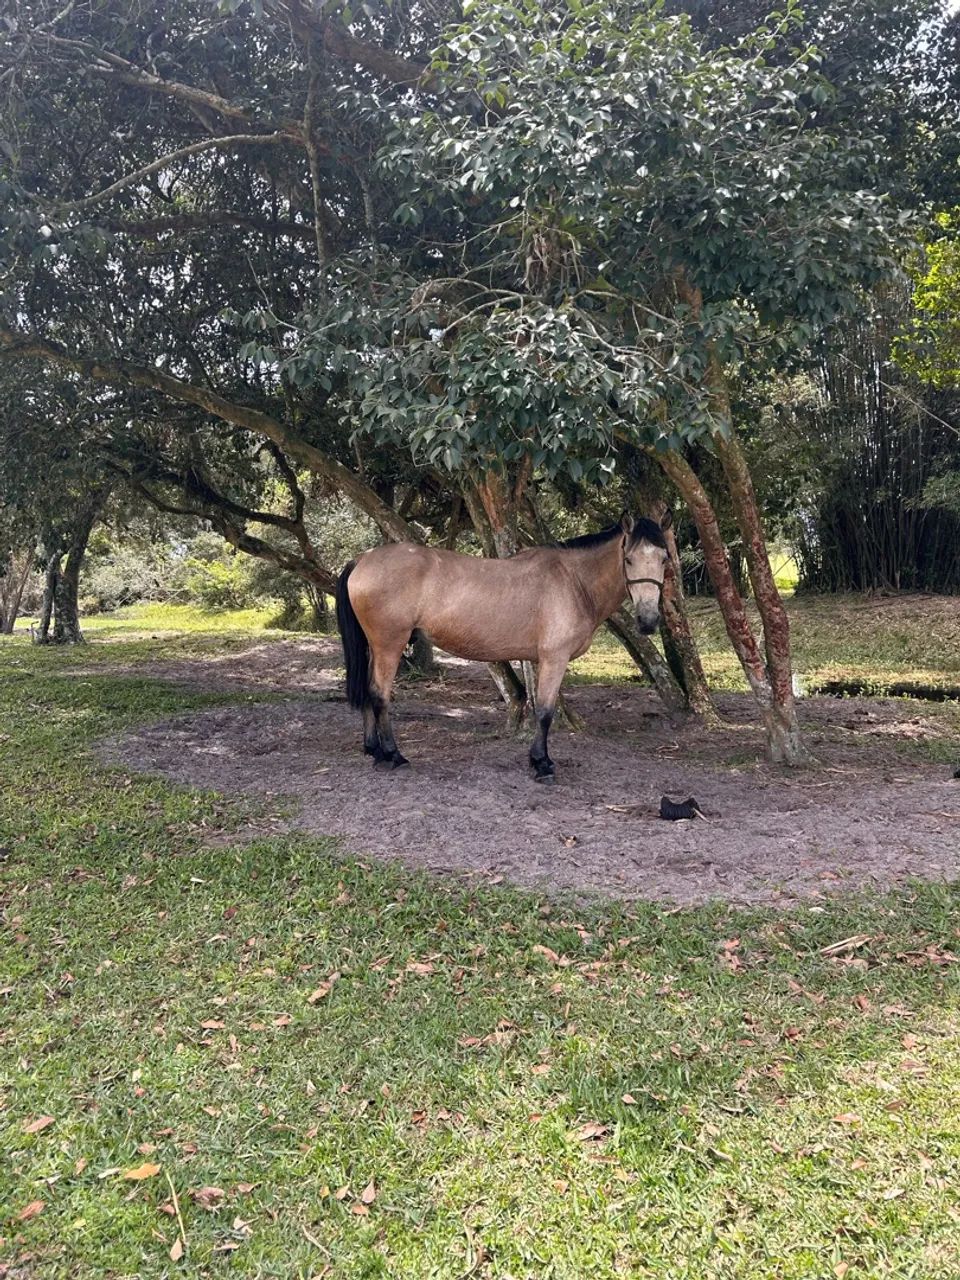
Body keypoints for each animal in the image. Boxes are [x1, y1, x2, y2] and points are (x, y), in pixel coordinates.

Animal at [335, 511, 671, 783]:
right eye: (629, 559)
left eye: (664, 559)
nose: (648, 621)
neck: (573, 581)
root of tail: (363, 559)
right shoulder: (555, 659)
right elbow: (545, 711)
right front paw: (542, 764)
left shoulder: (539, 661)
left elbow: (539, 707)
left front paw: (537, 759)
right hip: (389, 645)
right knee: (379, 694)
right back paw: (393, 755)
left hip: (375, 647)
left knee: (368, 690)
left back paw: (374, 751)